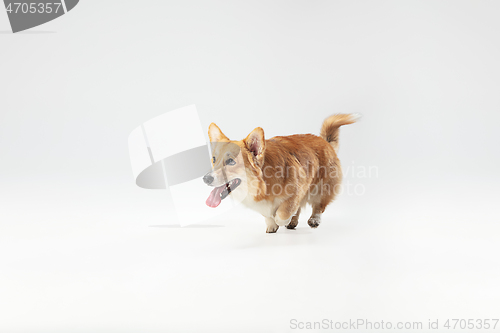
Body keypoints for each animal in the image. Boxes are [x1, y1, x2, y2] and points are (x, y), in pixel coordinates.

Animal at [203, 115, 360, 232]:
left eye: (230, 161)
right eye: (214, 159)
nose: (206, 178)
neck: (262, 185)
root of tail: (325, 141)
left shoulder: (295, 191)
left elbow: (283, 213)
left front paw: (281, 220)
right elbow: (268, 215)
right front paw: (272, 225)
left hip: (321, 189)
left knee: (318, 206)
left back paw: (313, 220)